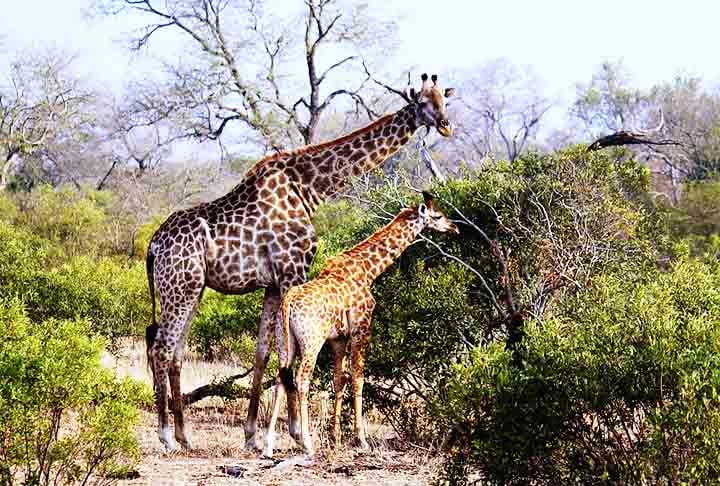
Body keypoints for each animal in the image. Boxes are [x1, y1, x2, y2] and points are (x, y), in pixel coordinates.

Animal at [262, 192, 458, 458]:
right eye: (437, 215)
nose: (454, 227)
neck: (368, 270)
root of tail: (288, 303)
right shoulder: (361, 327)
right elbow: (358, 377)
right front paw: (361, 439)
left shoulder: (338, 338)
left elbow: (339, 380)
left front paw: (335, 438)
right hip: (311, 341)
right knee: (302, 379)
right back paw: (307, 443)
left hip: (285, 342)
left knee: (280, 378)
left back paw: (268, 445)